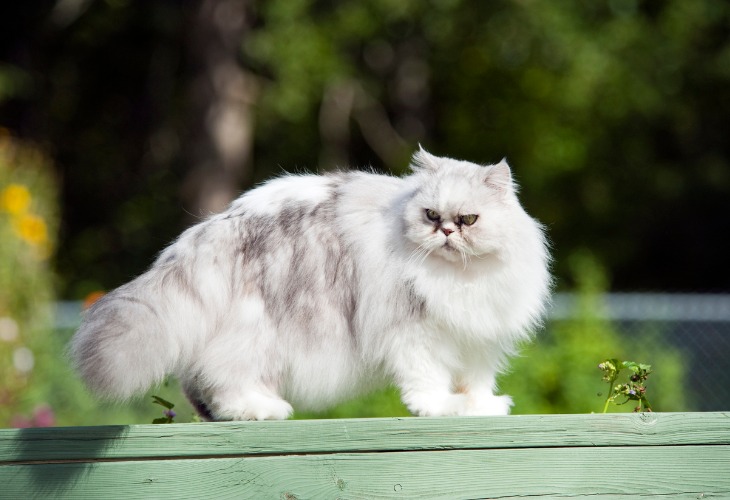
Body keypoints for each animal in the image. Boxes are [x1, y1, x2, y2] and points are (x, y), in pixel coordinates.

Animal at [71, 149, 548, 422]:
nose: (446, 232)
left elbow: (476, 383)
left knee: (197, 382)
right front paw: (440, 409)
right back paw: (259, 411)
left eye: (468, 219)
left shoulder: (478, 340)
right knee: (224, 377)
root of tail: (214, 228)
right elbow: (428, 382)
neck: (462, 277)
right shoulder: (416, 334)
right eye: (431, 215)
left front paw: (482, 408)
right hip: (256, 333)